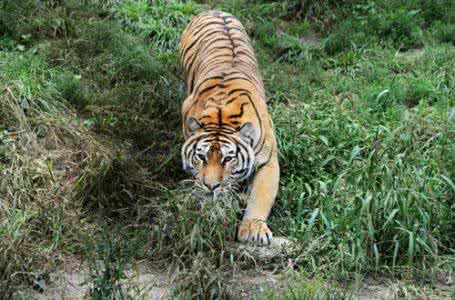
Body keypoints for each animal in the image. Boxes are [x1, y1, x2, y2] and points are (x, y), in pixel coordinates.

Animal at [179, 10, 280, 245]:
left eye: (228, 159)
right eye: (201, 157)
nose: (211, 186)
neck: (221, 117)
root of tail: (214, 10)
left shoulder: (269, 160)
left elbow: (261, 195)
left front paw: (253, 229)